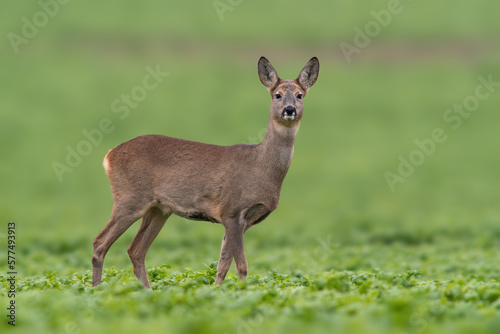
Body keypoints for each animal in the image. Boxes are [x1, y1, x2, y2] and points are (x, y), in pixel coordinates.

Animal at [91, 56, 318, 288]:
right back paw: (97, 289)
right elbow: (242, 265)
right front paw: (243, 290)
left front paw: (216, 292)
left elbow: (222, 265)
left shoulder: (242, 221)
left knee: (135, 250)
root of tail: (110, 155)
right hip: (130, 198)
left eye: (300, 95)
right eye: (277, 94)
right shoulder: (232, 210)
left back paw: (146, 290)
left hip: (159, 209)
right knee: (100, 242)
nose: (289, 109)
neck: (260, 168)